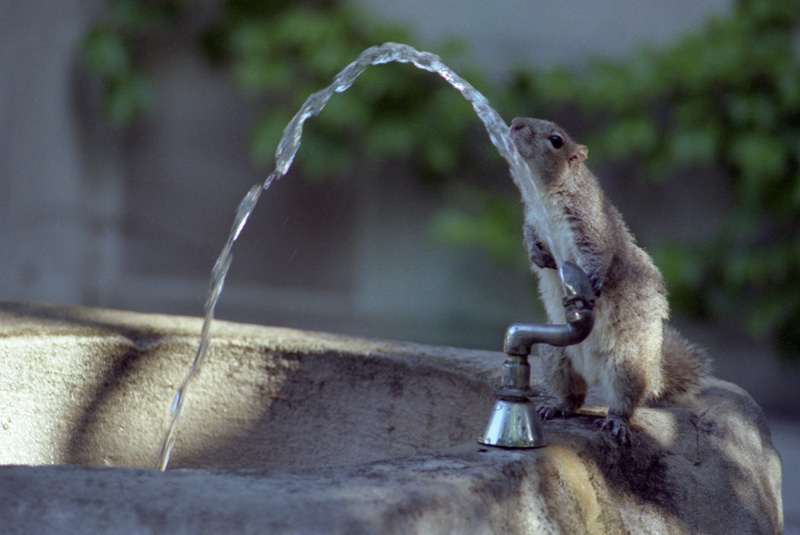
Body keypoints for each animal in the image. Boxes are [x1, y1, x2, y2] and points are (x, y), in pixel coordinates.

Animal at [509, 117, 711, 445]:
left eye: (556, 140)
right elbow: (527, 236)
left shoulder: (593, 225)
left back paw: (616, 422)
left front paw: (592, 281)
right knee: (574, 396)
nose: (515, 124)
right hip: (555, 354)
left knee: (624, 402)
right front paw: (537, 254)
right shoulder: (532, 220)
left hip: (626, 366)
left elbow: (598, 256)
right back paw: (557, 405)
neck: (546, 194)